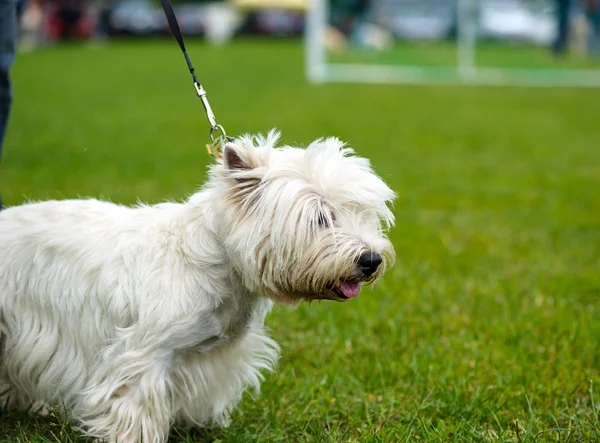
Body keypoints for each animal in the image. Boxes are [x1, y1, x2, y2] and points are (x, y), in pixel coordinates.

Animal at [0, 133, 396, 443]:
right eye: (320, 217)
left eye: (363, 212)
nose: (371, 259)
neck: (221, 262)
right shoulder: (143, 354)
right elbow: (135, 405)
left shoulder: (210, 357)